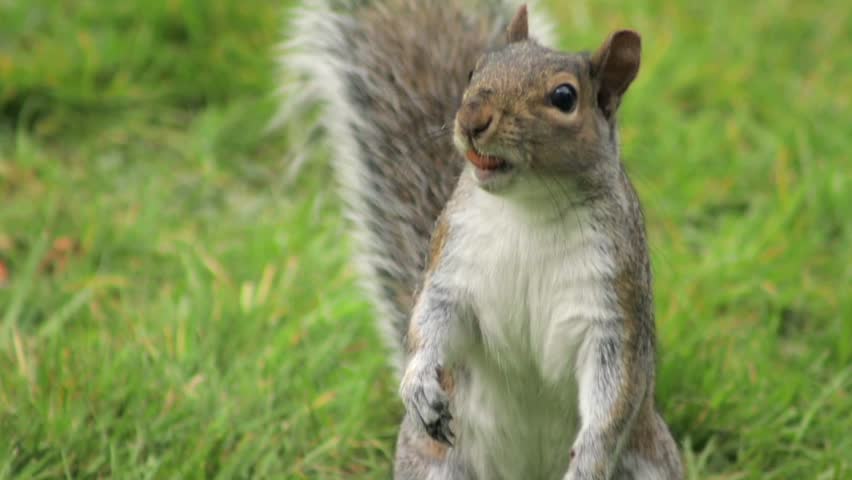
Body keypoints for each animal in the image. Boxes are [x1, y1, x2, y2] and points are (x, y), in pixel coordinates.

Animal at [284, 1, 683, 478]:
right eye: (475, 70)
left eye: (564, 97)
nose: (473, 119)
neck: (528, 209)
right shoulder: (453, 260)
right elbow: (430, 320)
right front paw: (419, 385)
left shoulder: (614, 299)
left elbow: (617, 390)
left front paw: (589, 459)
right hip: (434, 465)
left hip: (649, 460)